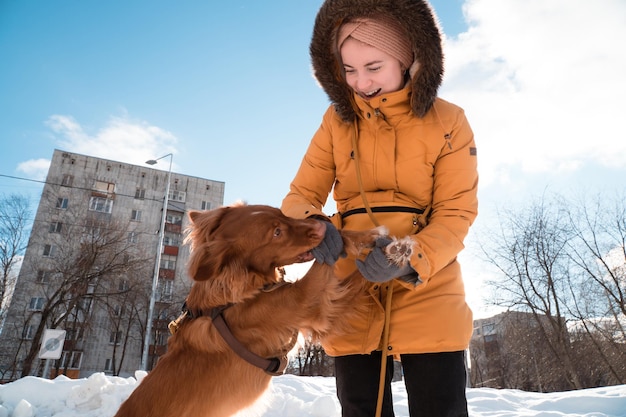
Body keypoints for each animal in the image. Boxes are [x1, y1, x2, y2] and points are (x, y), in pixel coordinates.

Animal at [114, 203, 412, 414]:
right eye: (276, 233)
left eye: (281, 213)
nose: (321, 226)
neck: (234, 298)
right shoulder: (305, 299)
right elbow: (331, 262)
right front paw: (388, 248)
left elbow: (354, 265)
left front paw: (380, 246)